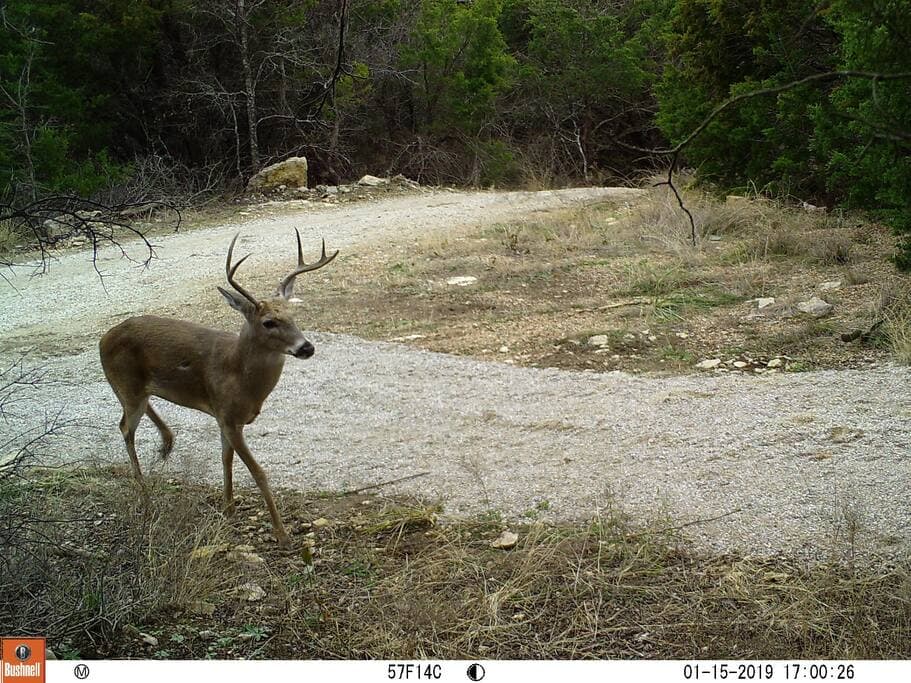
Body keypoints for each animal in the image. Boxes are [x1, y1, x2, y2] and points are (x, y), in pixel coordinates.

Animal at [99, 230, 338, 548]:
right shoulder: (228, 416)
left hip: (132, 387)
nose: (306, 347)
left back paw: (167, 443)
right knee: (125, 427)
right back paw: (145, 493)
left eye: (292, 315)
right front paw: (281, 533)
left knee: (138, 409)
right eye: (269, 322)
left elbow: (226, 459)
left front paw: (229, 507)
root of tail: (102, 339)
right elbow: (258, 472)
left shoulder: (224, 418)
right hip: (126, 383)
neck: (240, 378)